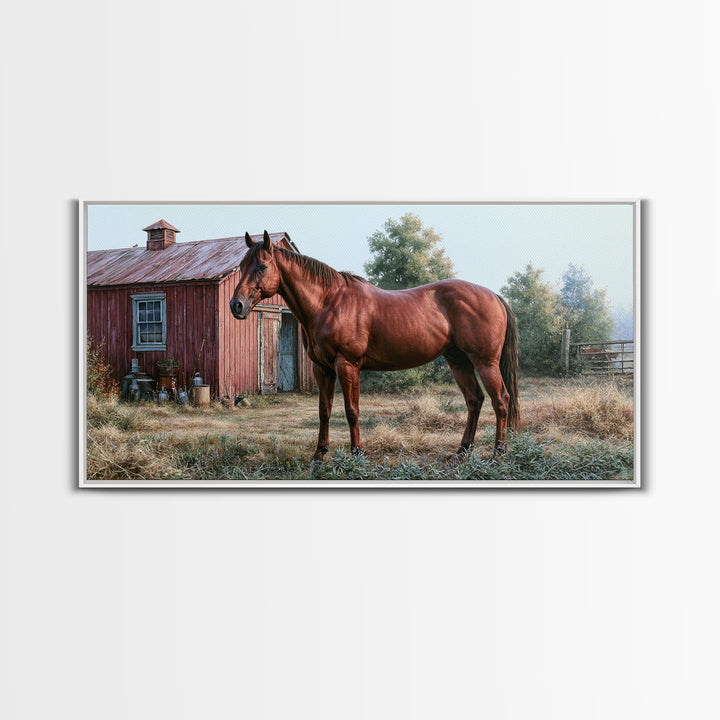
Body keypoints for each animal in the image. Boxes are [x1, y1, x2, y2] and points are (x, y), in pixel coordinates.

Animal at [230, 231, 519, 461]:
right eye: (241, 266)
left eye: (262, 266)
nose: (236, 305)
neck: (328, 302)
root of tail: (493, 295)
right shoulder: (321, 368)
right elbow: (325, 411)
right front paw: (319, 455)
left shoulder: (347, 365)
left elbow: (352, 410)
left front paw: (357, 452)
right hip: (459, 361)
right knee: (474, 400)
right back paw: (462, 450)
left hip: (485, 363)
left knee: (500, 400)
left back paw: (499, 452)